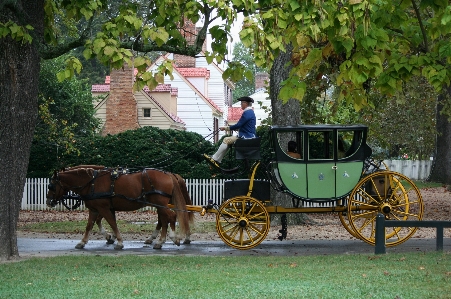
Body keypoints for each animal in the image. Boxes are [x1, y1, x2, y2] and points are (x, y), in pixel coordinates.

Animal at [46, 168, 192, 250]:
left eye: (51, 186)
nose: (48, 201)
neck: (92, 183)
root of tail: (168, 174)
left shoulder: (104, 208)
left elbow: (112, 223)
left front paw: (119, 241)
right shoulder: (95, 209)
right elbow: (89, 226)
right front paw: (82, 242)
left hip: (160, 203)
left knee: (170, 217)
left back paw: (170, 238)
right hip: (159, 205)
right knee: (164, 220)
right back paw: (160, 241)